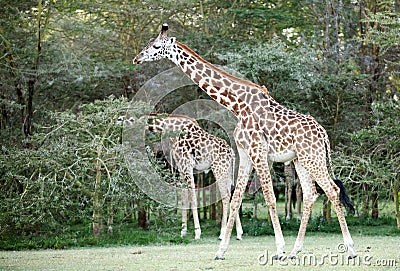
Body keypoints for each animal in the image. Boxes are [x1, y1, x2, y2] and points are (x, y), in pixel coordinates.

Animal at [134, 23, 356, 262]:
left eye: (156, 46)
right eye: (149, 43)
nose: (137, 58)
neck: (237, 105)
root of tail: (323, 134)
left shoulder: (258, 152)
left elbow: (269, 197)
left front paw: (279, 249)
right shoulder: (245, 153)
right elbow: (235, 198)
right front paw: (220, 251)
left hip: (312, 157)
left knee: (332, 190)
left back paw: (350, 249)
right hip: (300, 160)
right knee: (310, 194)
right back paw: (296, 250)